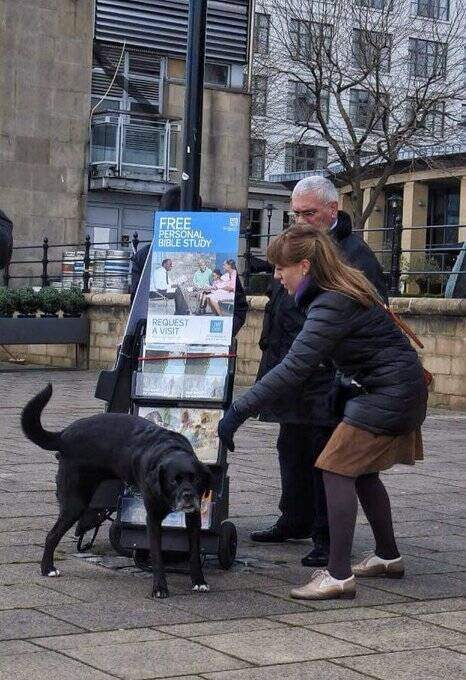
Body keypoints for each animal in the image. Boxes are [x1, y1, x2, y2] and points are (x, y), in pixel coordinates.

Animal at [20, 386, 211, 596]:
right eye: (173, 481)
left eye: (195, 479)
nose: (188, 496)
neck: (170, 450)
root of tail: (64, 435)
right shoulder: (152, 518)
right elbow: (157, 556)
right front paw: (160, 588)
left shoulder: (194, 517)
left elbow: (195, 552)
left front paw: (199, 581)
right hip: (75, 503)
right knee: (52, 535)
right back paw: (47, 568)